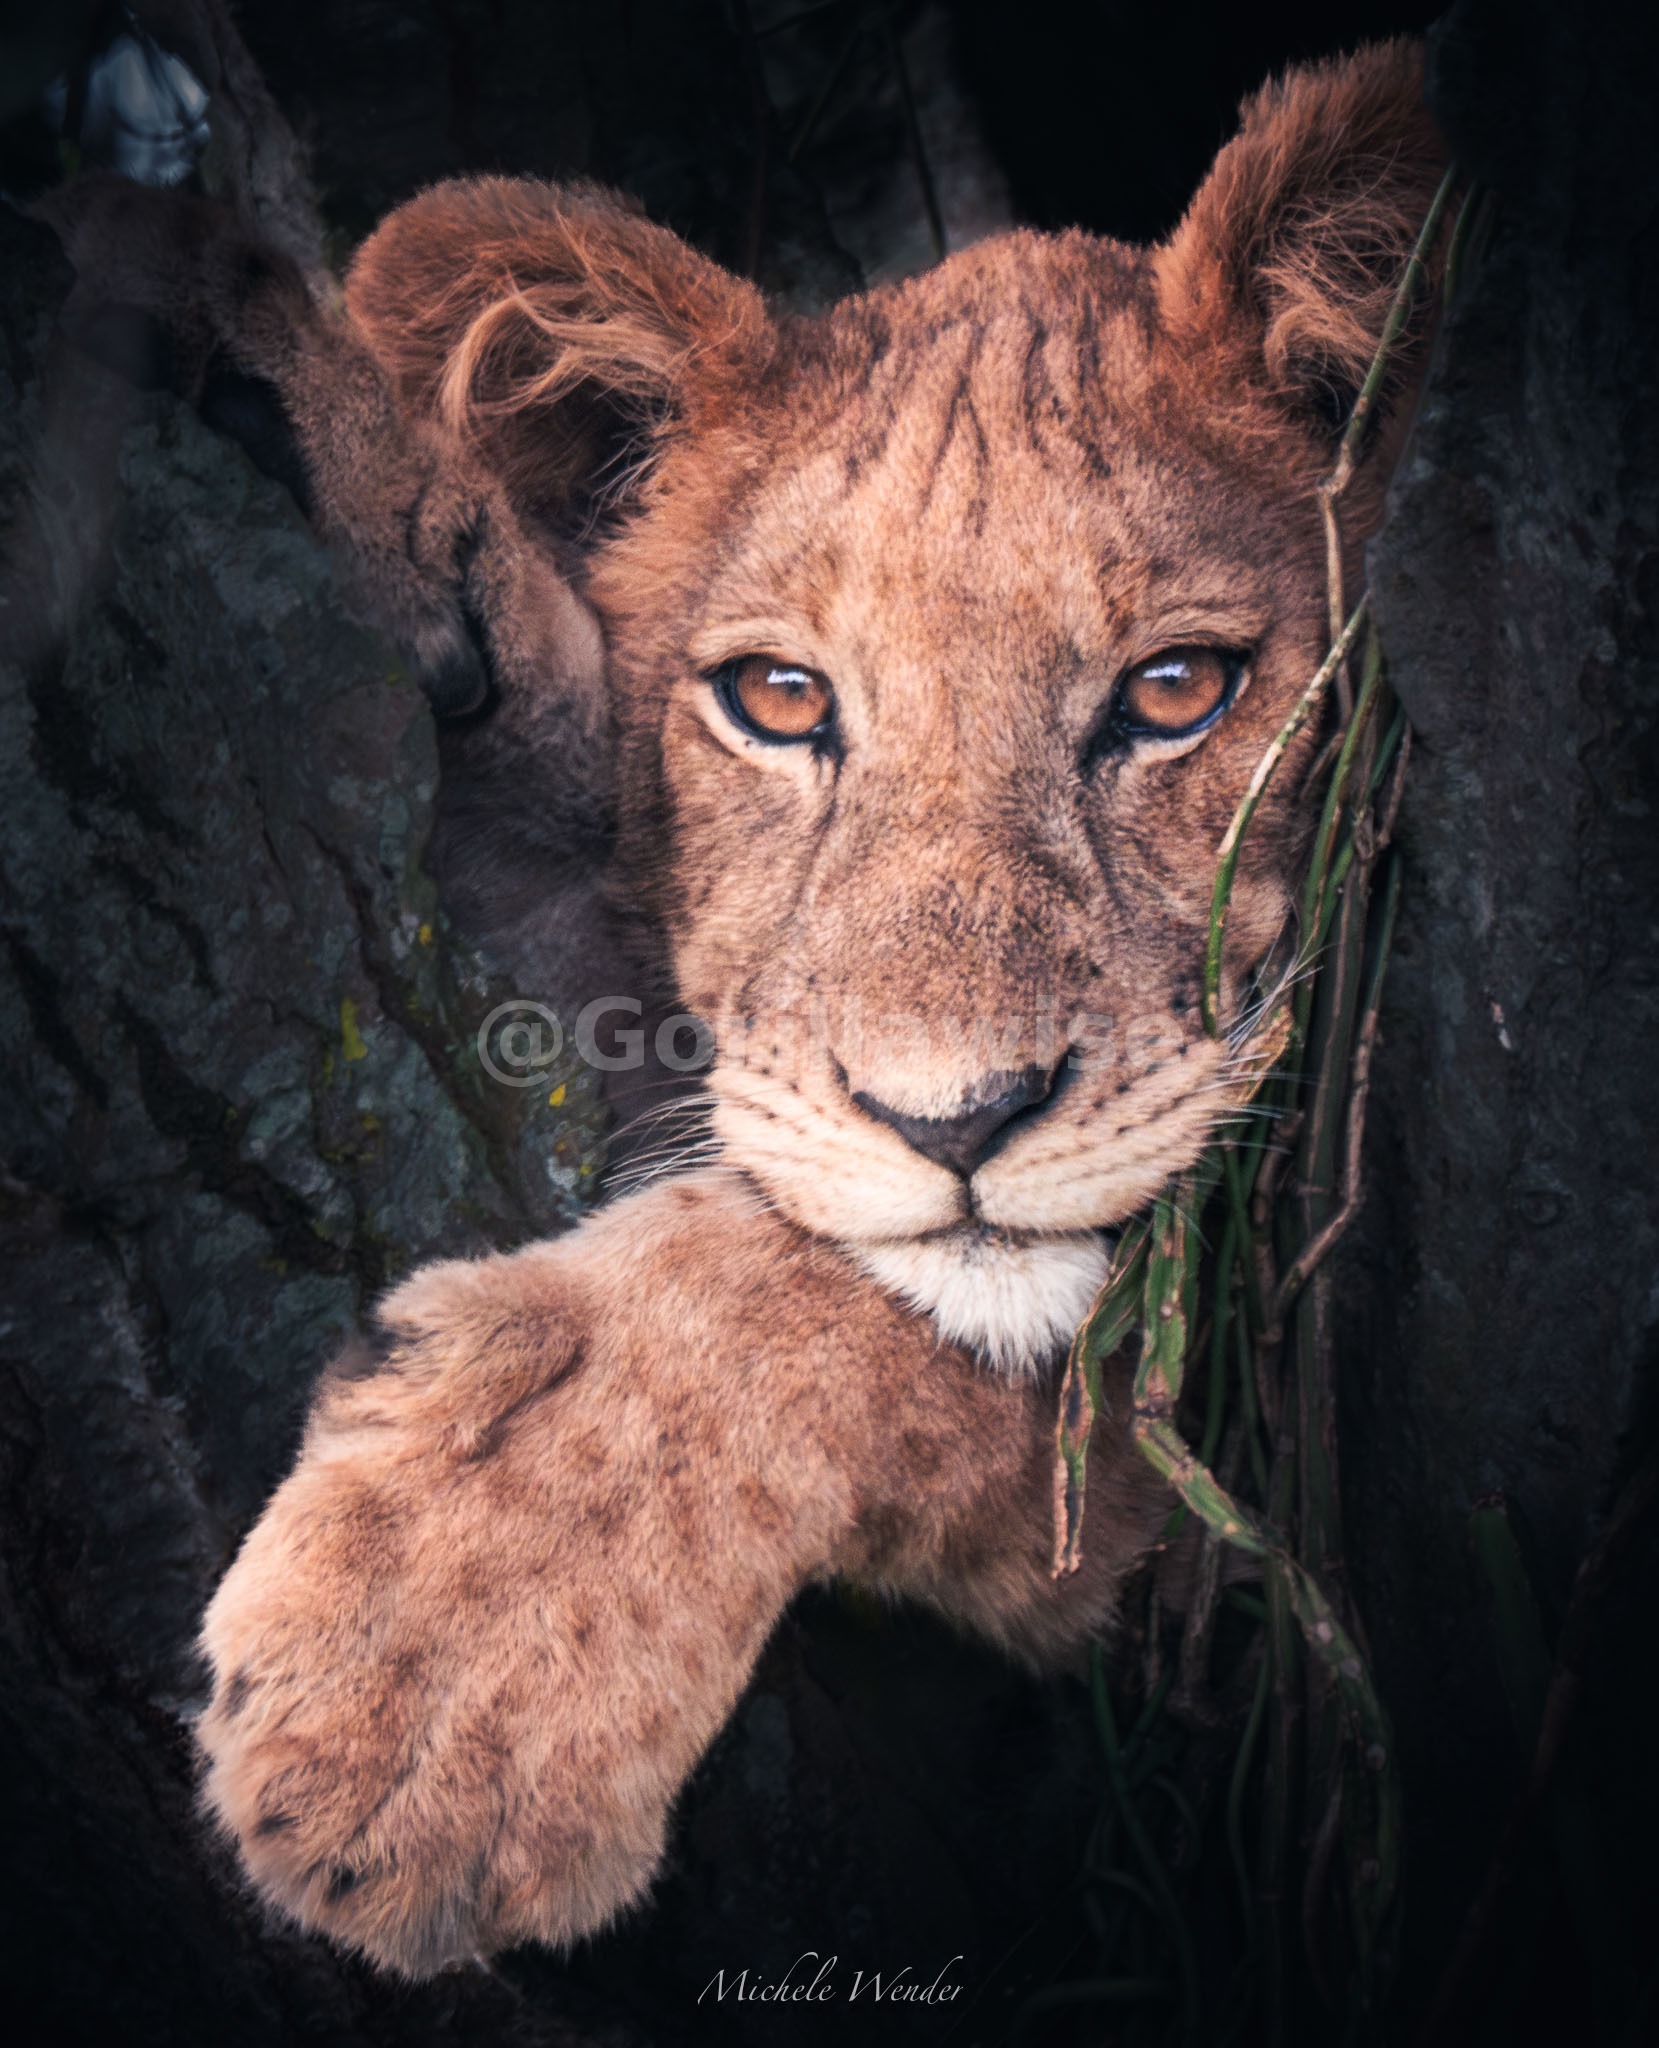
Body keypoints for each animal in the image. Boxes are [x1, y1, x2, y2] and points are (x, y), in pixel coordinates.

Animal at [50, 40, 1444, 1975]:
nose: (953, 1121)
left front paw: (440, 1669)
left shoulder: (1239, 1562)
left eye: (1177, 688)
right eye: (777, 700)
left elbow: (823, 1297)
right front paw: (261, 373)